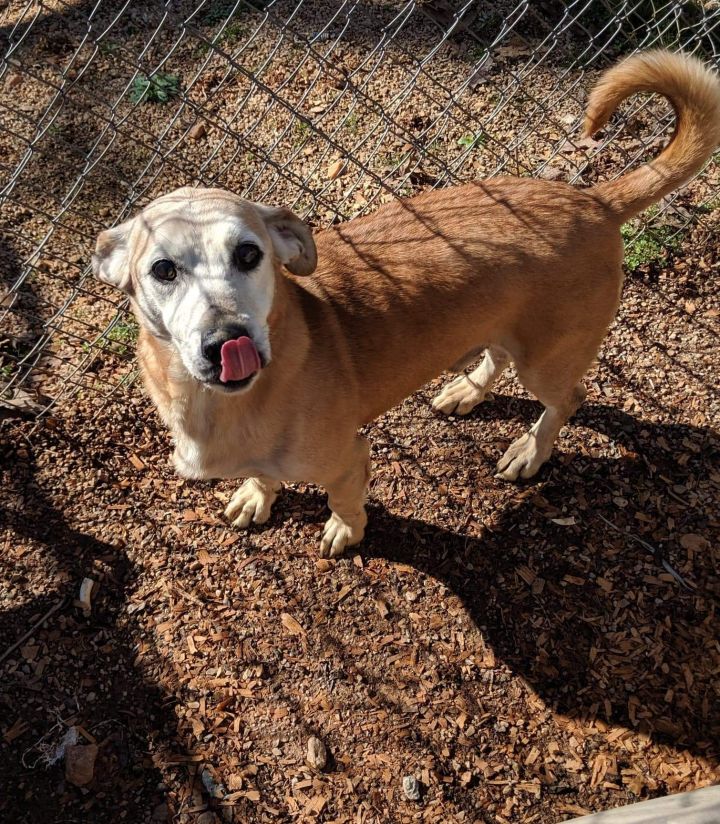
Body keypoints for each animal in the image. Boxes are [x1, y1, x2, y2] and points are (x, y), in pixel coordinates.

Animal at [93, 50, 720, 552]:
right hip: (505, 326)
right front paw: (256, 495)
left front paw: (345, 533)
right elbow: (265, 475)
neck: (219, 405)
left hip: (547, 360)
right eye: (163, 269)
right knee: (497, 354)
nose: (229, 340)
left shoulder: (349, 458)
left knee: (567, 399)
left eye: (249, 254)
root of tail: (593, 200)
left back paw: (530, 451)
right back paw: (468, 391)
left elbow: (345, 503)